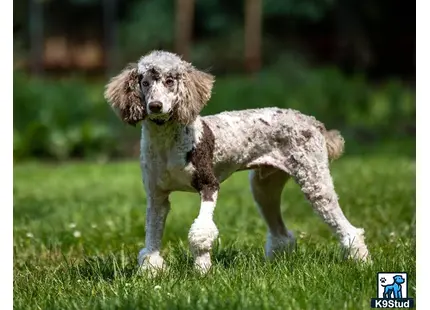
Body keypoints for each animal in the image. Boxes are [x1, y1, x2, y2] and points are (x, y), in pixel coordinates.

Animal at [103, 50, 370, 274]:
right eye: (145, 82)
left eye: (170, 81)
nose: (155, 106)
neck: (167, 143)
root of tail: (314, 122)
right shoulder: (157, 197)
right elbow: (152, 239)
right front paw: (151, 271)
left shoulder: (208, 185)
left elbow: (201, 233)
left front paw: (202, 271)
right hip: (264, 188)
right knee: (280, 233)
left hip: (314, 181)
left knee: (348, 228)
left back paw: (361, 260)